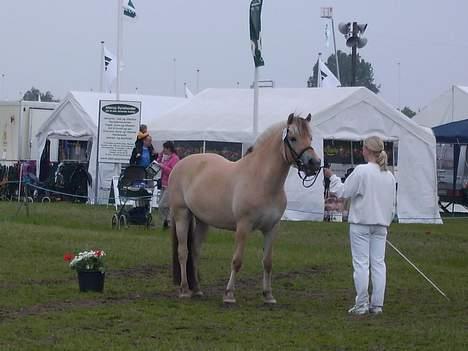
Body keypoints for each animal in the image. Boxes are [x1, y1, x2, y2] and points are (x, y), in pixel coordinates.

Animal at [169, 113, 322, 306]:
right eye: (293, 138)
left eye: (310, 138)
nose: (314, 163)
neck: (262, 181)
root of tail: (181, 163)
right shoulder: (243, 226)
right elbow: (237, 260)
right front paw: (229, 294)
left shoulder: (272, 228)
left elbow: (268, 262)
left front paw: (268, 295)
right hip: (181, 214)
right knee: (183, 252)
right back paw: (184, 290)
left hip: (203, 221)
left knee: (195, 252)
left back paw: (196, 289)